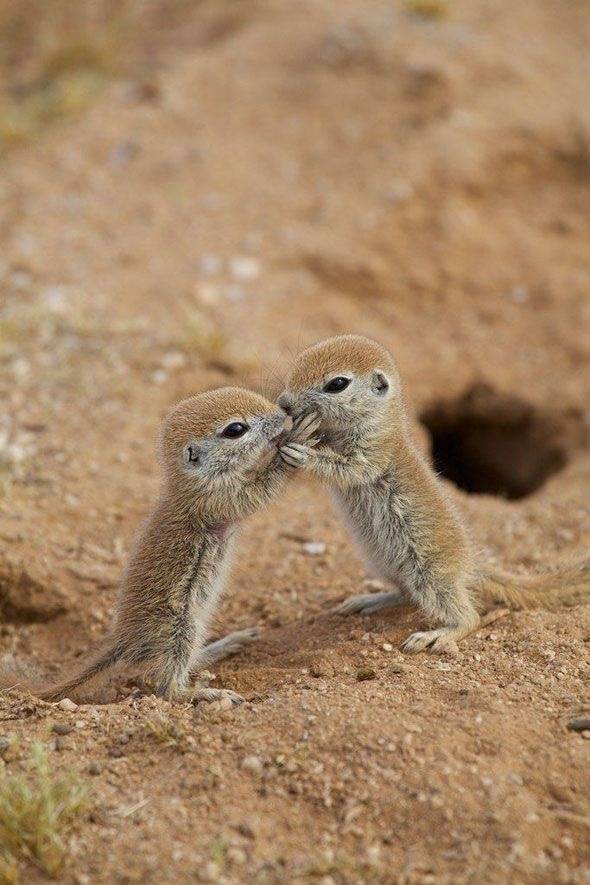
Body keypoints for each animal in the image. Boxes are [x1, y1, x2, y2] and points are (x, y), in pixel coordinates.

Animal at [278, 334, 590, 652]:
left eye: (337, 384)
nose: (283, 403)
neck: (378, 421)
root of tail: (470, 565)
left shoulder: (374, 452)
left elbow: (351, 469)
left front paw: (303, 451)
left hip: (430, 575)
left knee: (469, 616)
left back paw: (437, 635)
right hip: (386, 565)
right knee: (405, 595)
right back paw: (368, 600)